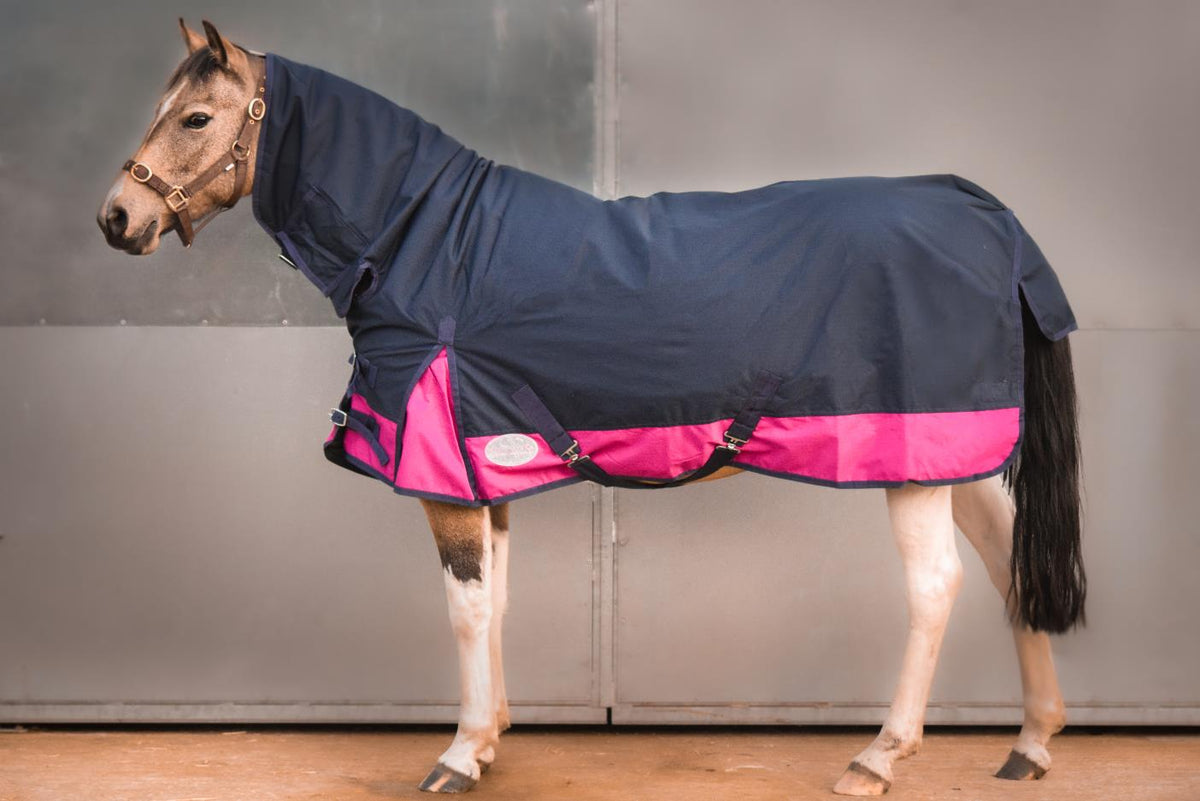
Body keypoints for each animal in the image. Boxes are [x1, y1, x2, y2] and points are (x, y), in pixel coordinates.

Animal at [97, 19, 1086, 796]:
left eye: (195, 117)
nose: (115, 218)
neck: (434, 245)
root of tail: (984, 213)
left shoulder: (443, 475)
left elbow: (465, 609)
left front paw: (457, 753)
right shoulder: (484, 464)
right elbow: (496, 602)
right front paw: (490, 739)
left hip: (911, 457)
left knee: (937, 587)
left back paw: (879, 755)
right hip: (958, 453)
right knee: (1009, 564)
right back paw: (1031, 743)